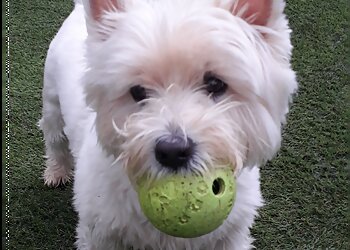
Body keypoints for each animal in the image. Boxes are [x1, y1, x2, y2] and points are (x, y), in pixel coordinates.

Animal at [39, 0, 296, 248]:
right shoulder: (100, 232)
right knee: (55, 140)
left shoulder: (231, 234)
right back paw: (56, 172)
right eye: (137, 91)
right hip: (52, 102)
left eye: (215, 83)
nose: (172, 151)